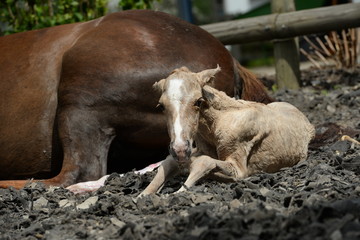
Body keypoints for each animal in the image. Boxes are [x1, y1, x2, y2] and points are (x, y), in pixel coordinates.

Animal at [139, 65, 314, 195]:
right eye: (161, 106)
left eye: (198, 101)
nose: (180, 150)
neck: (216, 124)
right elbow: (169, 162)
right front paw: (142, 195)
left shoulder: (239, 168)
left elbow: (204, 162)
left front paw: (180, 190)